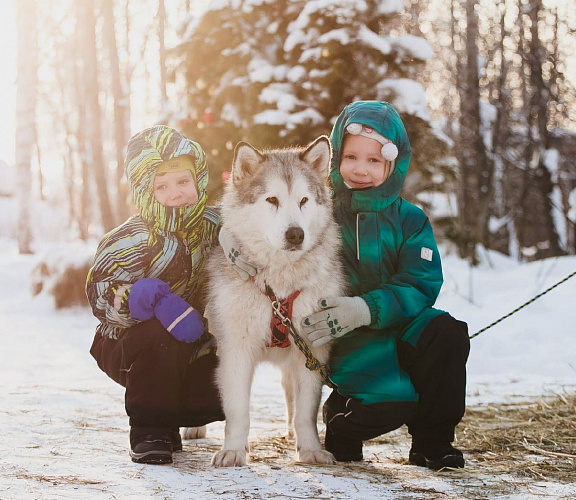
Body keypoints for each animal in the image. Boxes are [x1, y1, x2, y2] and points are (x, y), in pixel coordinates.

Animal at [209, 135, 344, 466]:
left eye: (304, 201)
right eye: (272, 200)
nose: (296, 234)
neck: (278, 289)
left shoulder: (312, 352)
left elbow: (306, 412)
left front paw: (310, 449)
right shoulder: (235, 351)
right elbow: (238, 412)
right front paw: (233, 450)